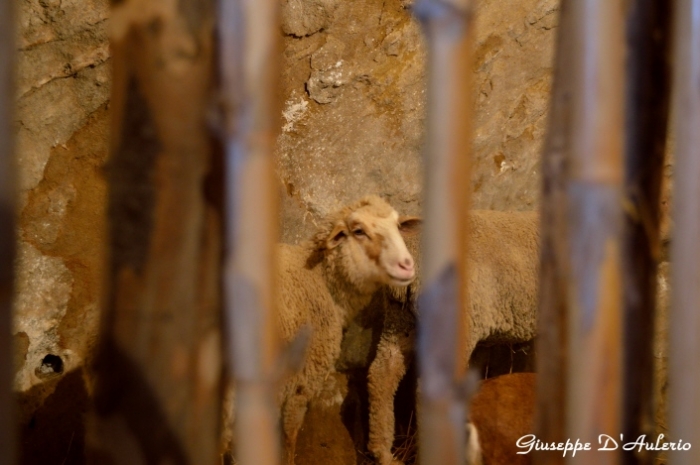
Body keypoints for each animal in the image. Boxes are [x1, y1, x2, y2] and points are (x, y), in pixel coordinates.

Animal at [226, 196, 422, 464]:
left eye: (397, 226)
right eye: (358, 231)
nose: (406, 265)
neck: (318, 279)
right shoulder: (301, 379)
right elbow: (289, 434)